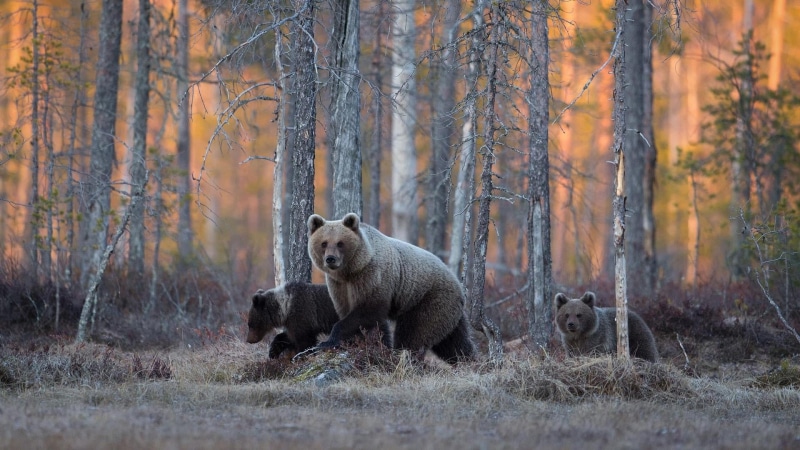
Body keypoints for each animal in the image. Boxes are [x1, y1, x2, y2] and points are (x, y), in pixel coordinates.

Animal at [307, 213, 475, 364]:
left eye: (340, 243)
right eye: (324, 243)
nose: (331, 259)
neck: (351, 271)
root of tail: (458, 284)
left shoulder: (373, 277)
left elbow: (367, 311)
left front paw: (327, 342)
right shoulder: (339, 286)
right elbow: (359, 317)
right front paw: (368, 344)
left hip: (429, 298)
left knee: (415, 332)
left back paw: (405, 356)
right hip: (448, 311)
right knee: (453, 341)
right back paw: (469, 361)